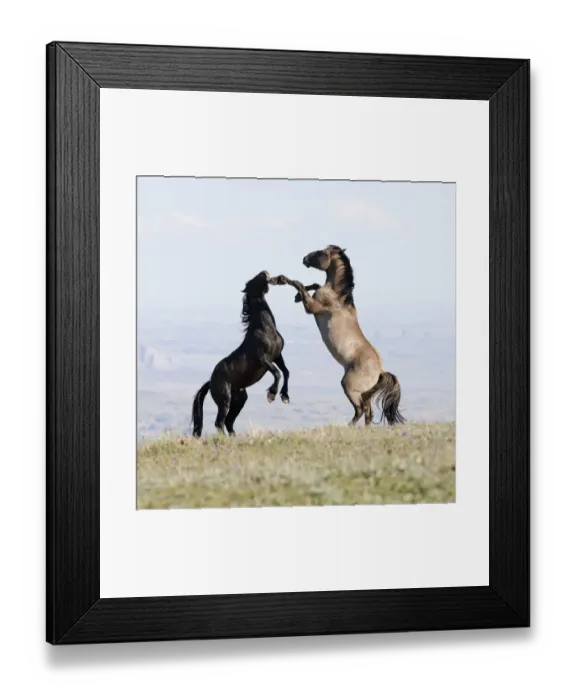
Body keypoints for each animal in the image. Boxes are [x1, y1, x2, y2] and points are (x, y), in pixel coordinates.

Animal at [191, 270, 290, 437]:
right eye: (252, 280)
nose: (265, 273)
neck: (265, 329)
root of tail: (210, 382)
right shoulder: (263, 359)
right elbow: (277, 373)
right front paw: (271, 394)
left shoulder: (277, 356)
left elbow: (286, 372)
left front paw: (285, 397)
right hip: (225, 400)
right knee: (220, 422)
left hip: (240, 399)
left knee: (229, 422)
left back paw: (234, 438)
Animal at [274, 245, 405, 427]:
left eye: (321, 253)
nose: (305, 258)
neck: (337, 296)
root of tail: (380, 372)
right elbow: (313, 285)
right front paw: (297, 296)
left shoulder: (312, 307)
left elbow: (299, 284)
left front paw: (283, 280)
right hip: (366, 393)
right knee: (368, 412)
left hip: (349, 387)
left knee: (360, 409)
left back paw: (349, 427)